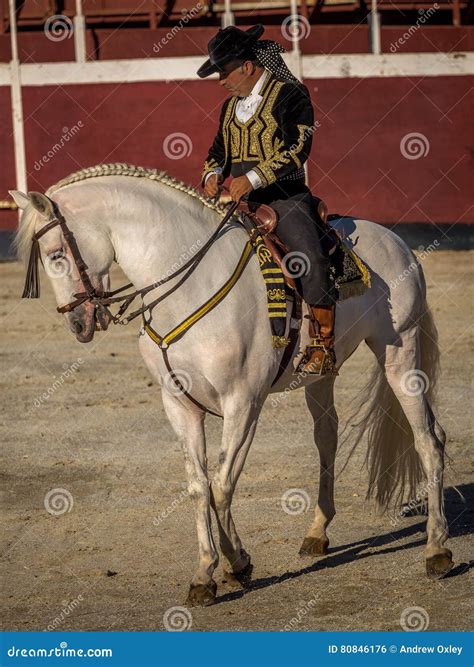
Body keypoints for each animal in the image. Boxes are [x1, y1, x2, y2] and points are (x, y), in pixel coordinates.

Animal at [10, 164, 452, 608]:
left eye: (56, 254)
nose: (78, 323)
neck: (190, 285)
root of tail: (398, 242)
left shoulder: (243, 402)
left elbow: (222, 483)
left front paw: (237, 562)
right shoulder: (178, 404)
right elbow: (197, 487)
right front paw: (205, 574)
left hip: (399, 352)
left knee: (428, 439)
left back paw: (437, 550)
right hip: (321, 375)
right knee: (327, 437)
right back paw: (317, 533)